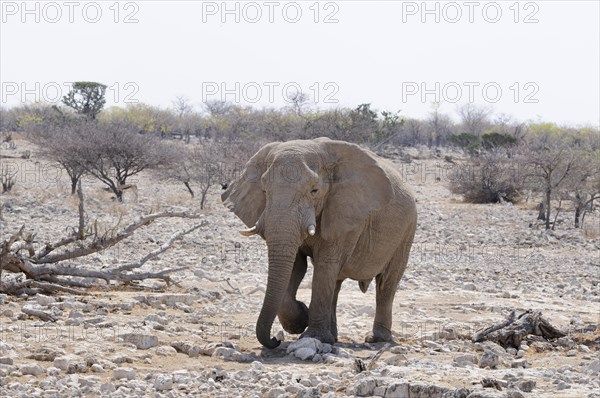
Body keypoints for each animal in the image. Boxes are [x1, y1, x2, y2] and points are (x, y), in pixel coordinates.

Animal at [220, 137, 418, 348]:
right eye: (264, 191)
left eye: (314, 191)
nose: (275, 339)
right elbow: (296, 265)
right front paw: (301, 320)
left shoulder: (345, 213)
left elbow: (325, 264)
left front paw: (312, 335)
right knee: (336, 283)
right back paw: (334, 337)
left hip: (407, 230)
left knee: (386, 283)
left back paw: (377, 339)